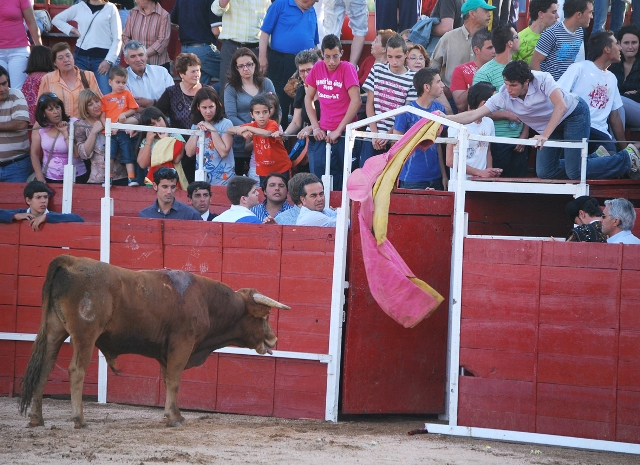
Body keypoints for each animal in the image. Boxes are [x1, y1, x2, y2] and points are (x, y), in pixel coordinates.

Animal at [18, 254, 290, 428]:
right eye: (265, 316)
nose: (273, 339)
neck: (205, 301)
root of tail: (70, 261)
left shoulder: (166, 351)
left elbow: (168, 379)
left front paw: (175, 415)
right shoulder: (182, 344)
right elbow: (175, 380)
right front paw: (174, 419)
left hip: (54, 331)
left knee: (44, 368)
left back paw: (36, 418)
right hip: (85, 335)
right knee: (76, 370)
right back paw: (79, 420)